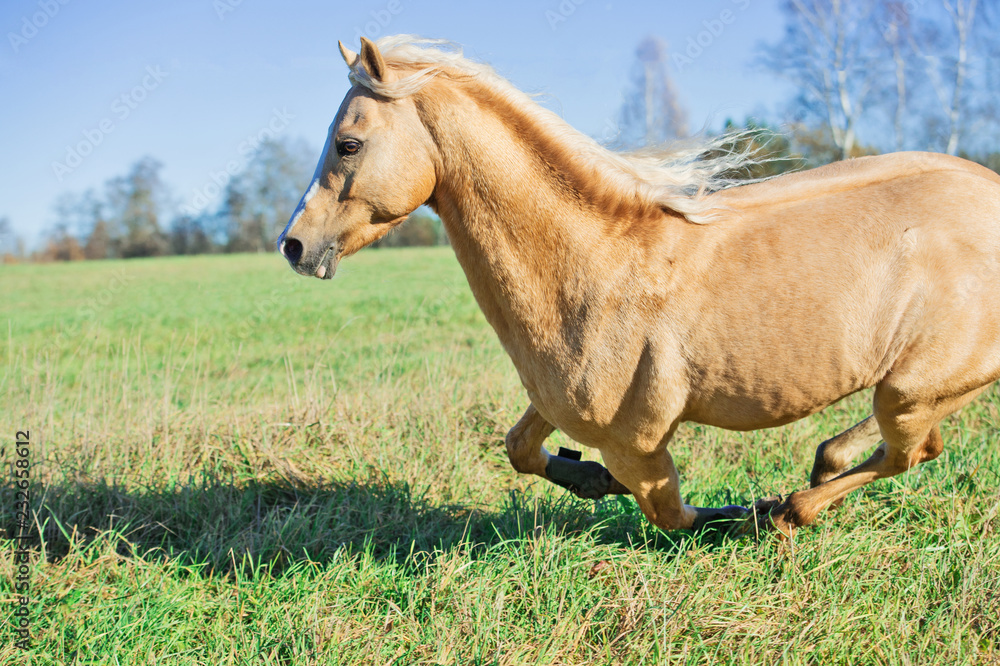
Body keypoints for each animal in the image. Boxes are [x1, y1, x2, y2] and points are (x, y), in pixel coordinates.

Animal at [277, 35, 1000, 537]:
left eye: (347, 143)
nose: (293, 245)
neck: (591, 263)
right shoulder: (559, 400)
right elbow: (519, 447)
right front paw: (588, 479)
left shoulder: (637, 441)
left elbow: (674, 514)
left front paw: (744, 511)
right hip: (921, 385)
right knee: (909, 444)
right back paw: (821, 465)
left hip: (912, 389)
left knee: (913, 451)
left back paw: (791, 507)